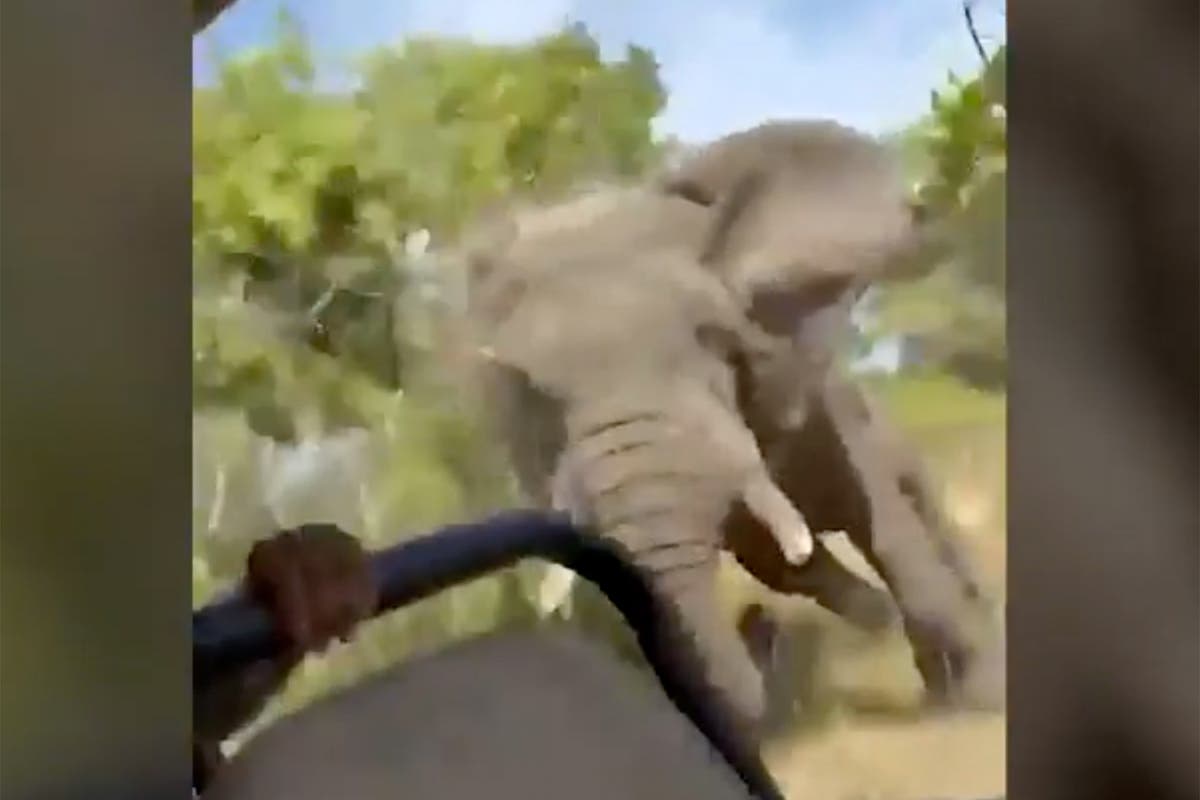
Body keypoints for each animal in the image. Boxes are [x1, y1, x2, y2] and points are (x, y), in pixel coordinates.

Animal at [464, 119, 1003, 741]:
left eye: (714, 337)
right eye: (533, 391)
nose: (757, 625)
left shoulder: (811, 396)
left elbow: (881, 524)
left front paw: (984, 697)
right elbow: (778, 560)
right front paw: (884, 623)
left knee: (923, 517)